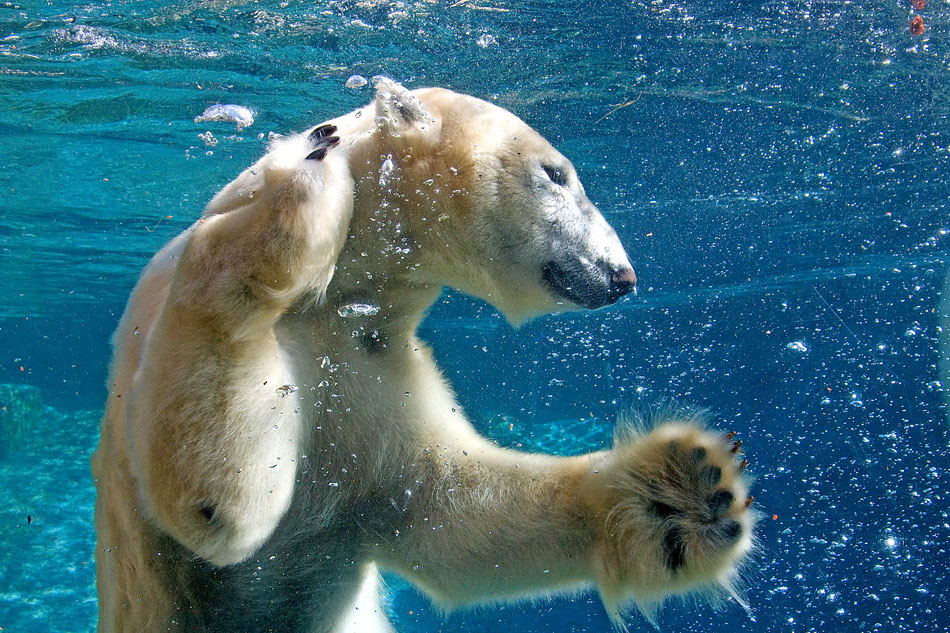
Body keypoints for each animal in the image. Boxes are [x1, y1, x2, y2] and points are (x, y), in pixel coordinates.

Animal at [93, 80, 756, 632]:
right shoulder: (171, 324)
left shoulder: (378, 365)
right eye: (557, 175)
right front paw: (302, 176)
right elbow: (217, 502)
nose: (623, 276)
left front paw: (682, 494)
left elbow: (447, 511)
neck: (344, 298)